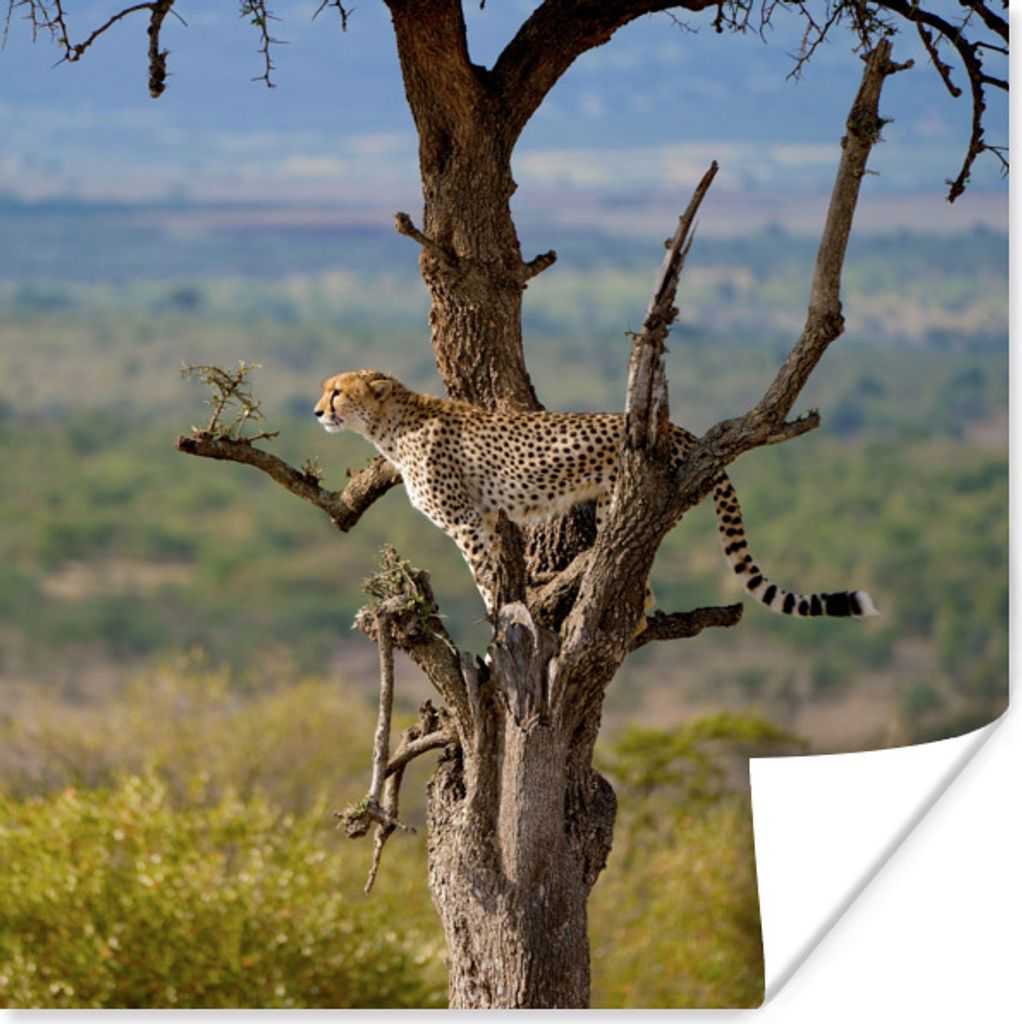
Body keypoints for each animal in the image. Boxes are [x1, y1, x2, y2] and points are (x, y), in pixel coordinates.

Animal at [314, 369, 878, 621]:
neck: (390, 425)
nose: (318, 411)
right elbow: (496, 572)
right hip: (615, 504)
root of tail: (681, 430)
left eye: (337, 391)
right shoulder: (489, 518)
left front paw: (499, 625)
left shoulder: (466, 521)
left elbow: (485, 578)